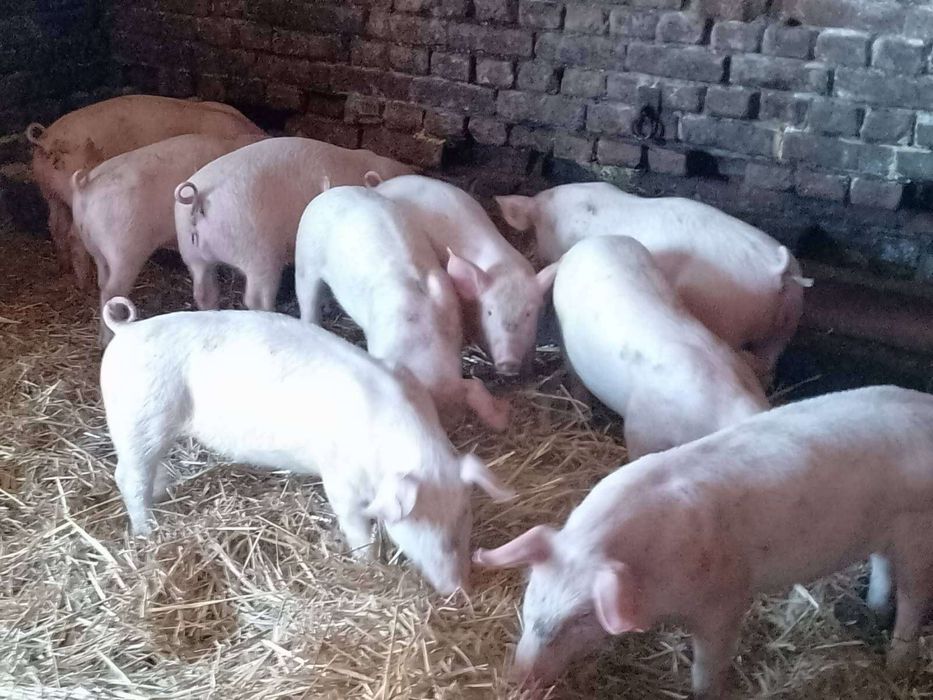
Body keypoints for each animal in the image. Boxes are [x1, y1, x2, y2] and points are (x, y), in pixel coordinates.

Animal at [26, 94, 265, 287]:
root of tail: (47, 139)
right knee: (74, 235)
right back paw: (87, 284)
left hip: (51, 194)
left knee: (55, 226)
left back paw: (64, 269)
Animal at [70, 133, 264, 346]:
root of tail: (86, 185)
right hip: (124, 249)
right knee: (112, 291)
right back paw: (108, 339)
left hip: (95, 247)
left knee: (102, 282)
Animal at [100, 296, 515, 594]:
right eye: (419, 521)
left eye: (464, 516)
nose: (458, 590)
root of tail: (127, 331)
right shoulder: (340, 479)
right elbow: (354, 524)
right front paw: (367, 565)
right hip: (141, 417)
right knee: (127, 476)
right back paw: (147, 531)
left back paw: (163, 492)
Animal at [474, 385, 933, 698]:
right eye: (531, 595)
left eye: (583, 616)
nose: (518, 678)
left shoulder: (724, 600)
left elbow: (709, 665)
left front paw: (704, 690)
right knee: (883, 567)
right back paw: (873, 610)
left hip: (918, 535)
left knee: (914, 599)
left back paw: (896, 666)